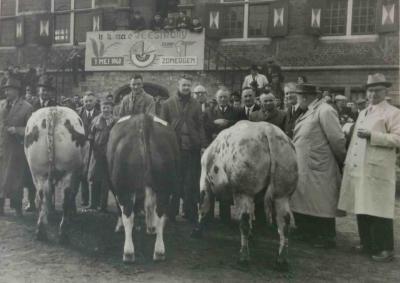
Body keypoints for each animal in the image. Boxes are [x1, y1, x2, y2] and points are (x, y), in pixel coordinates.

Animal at [24, 106, 87, 244]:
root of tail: (52, 112)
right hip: (69, 171)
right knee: (66, 196)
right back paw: (63, 233)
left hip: (38, 171)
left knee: (42, 195)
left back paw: (41, 231)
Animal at [107, 113, 180, 264]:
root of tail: (144, 119)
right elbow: (149, 203)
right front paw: (150, 227)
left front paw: (119, 226)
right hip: (164, 185)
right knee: (160, 213)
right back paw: (159, 251)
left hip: (124, 186)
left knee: (128, 214)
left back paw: (128, 253)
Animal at [192, 120, 298, 270]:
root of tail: (268, 130)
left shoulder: (205, 183)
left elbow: (203, 205)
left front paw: (197, 230)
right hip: (282, 194)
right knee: (285, 222)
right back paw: (281, 260)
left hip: (243, 192)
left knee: (244, 221)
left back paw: (244, 256)